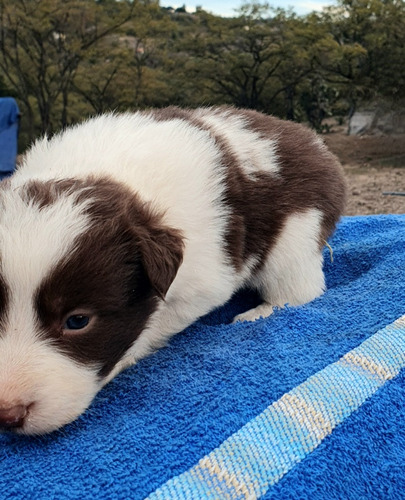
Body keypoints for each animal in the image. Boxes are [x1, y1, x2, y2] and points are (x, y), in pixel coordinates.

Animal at [0, 106, 346, 434]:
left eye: (77, 321)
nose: (7, 414)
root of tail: (317, 144)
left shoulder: (204, 280)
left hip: (295, 237)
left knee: (300, 289)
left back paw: (260, 312)